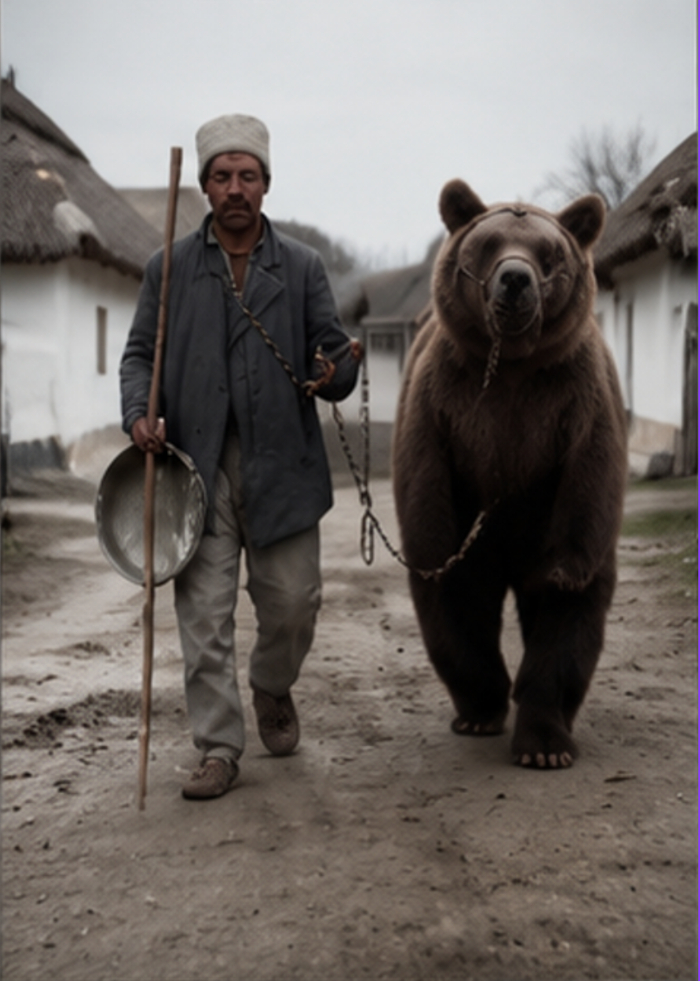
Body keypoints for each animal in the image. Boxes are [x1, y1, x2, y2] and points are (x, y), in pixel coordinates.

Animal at [392, 179, 627, 769]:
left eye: (548, 253)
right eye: (489, 244)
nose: (515, 279)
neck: (514, 365)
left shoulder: (573, 397)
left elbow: (590, 477)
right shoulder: (446, 400)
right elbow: (425, 497)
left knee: (572, 616)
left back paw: (545, 740)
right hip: (476, 533)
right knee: (458, 607)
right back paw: (480, 708)